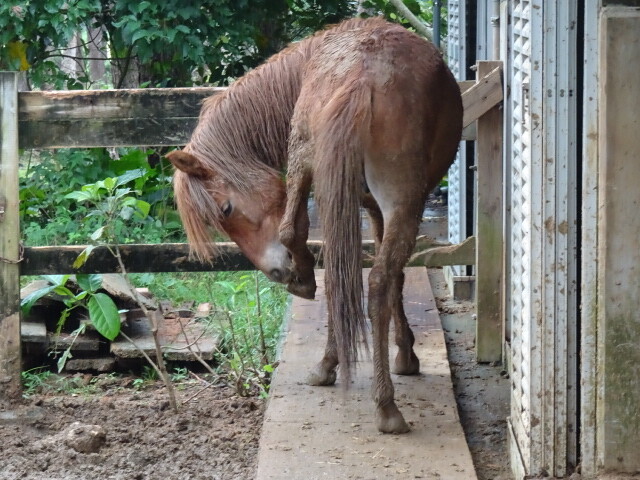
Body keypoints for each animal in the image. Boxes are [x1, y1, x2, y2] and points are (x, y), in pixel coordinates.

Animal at [167, 17, 462, 433]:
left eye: (224, 210)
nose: (277, 273)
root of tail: (360, 75)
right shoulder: (376, 208)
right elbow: (393, 277)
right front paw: (405, 353)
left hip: (309, 165)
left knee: (313, 249)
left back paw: (325, 352)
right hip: (394, 199)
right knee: (374, 280)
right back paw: (384, 404)